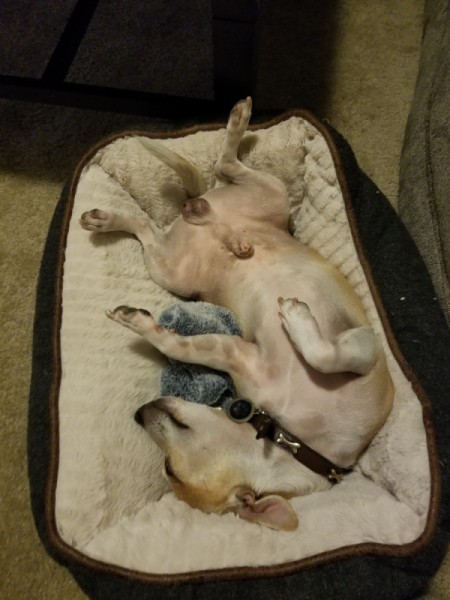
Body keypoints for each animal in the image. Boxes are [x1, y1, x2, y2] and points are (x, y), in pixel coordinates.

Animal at [81, 97, 394, 528]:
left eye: (169, 469)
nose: (141, 412)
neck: (291, 435)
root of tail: (203, 215)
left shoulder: (364, 350)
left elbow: (325, 355)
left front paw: (295, 317)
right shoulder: (237, 354)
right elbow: (173, 344)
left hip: (251, 208)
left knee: (209, 179)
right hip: (176, 266)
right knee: (177, 200)